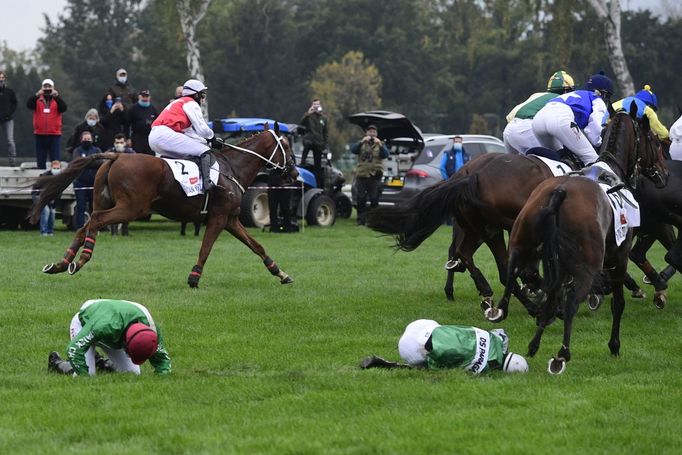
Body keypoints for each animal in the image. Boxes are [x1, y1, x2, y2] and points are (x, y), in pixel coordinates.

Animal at [29, 124, 296, 288]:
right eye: (286, 145)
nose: (293, 173)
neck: (233, 169)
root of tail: (117, 155)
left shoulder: (230, 219)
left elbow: (257, 246)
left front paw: (280, 273)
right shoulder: (219, 218)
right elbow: (205, 249)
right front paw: (193, 278)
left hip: (103, 201)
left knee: (83, 226)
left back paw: (61, 263)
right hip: (132, 208)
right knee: (96, 221)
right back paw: (81, 259)